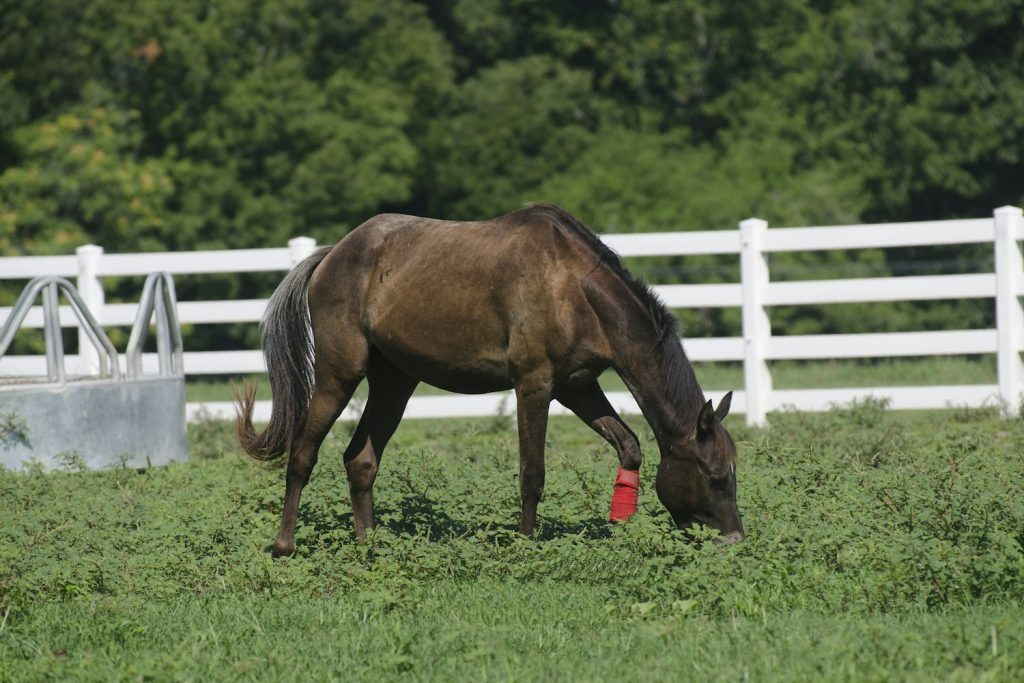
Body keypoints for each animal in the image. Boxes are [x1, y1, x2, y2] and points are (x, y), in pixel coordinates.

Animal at [235, 204, 744, 556]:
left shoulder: (577, 385)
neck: (574, 288)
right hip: (339, 374)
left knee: (360, 459)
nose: (735, 539)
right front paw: (526, 545)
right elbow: (532, 472)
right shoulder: (534, 384)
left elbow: (630, 446)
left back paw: (369, 545)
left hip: (395, 382)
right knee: (303, 453)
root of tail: (332, 255)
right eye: (716, 476)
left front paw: (620, 527)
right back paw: (284, 546)